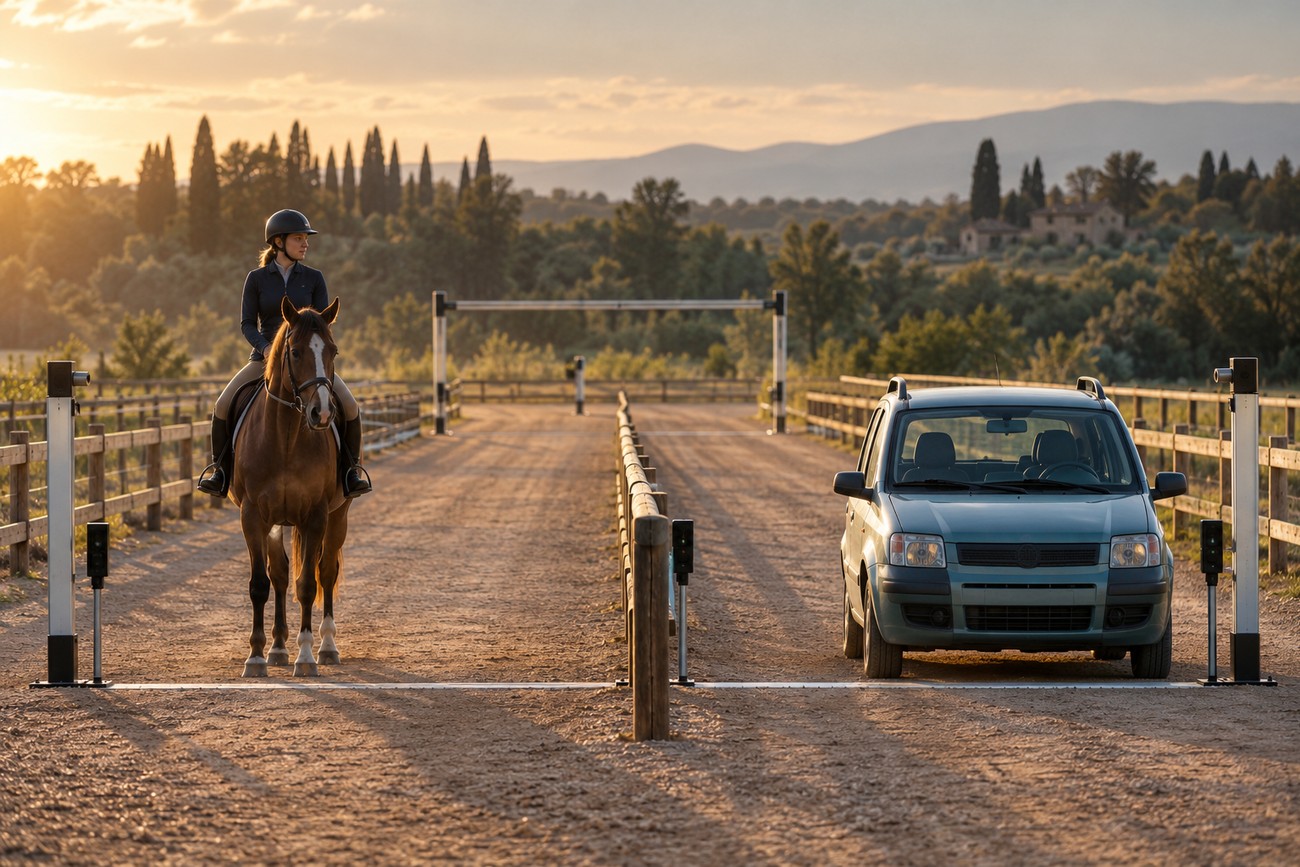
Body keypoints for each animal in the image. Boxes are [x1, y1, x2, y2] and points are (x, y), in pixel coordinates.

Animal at [228, 296, 352, 677]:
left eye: (333, 350)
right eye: (295, 352)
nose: (322, 414)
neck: (284, 438)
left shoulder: (315, 516)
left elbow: (308, 584)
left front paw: (307, 656)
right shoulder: (253, 515)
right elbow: (260, 584)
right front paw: (256, 657)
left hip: (339, 514)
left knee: (326, 572)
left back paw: (327, 647)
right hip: (275, 522)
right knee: (280, 575)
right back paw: (278, 648)